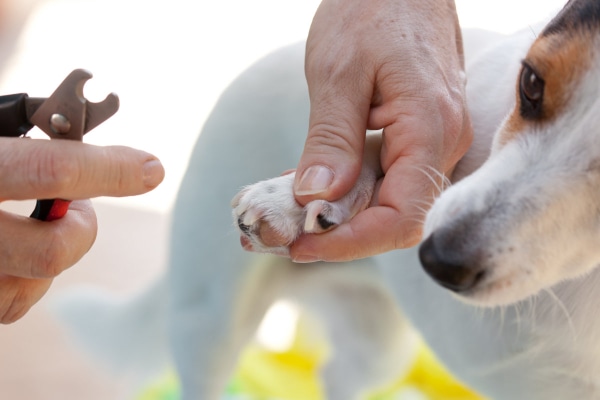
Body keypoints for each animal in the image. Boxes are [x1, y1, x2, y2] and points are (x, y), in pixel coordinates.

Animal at [51, 1, 600, 398]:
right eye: (531, 82)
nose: (437, 259)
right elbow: (376, 145)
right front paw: (297, 200)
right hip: (209, 321)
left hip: (378, 347)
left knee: (336, 376)